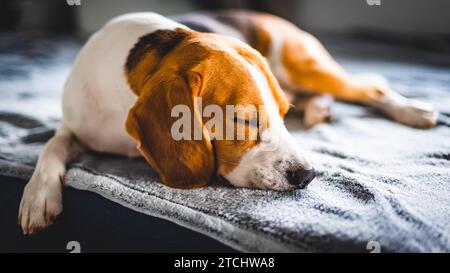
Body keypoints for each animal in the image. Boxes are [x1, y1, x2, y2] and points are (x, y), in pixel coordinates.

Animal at [19, 10, 438, 232]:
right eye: (244, 120)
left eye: (281, 116)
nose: (307, 176)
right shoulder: (75, 125)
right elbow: (52, 145)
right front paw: (38, 195)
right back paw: (322, 109)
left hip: (307, 67)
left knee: (373, 89)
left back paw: (414, 111)